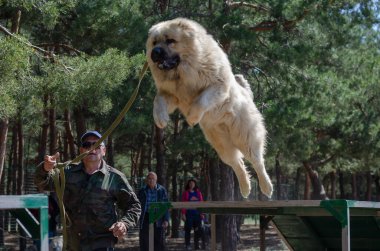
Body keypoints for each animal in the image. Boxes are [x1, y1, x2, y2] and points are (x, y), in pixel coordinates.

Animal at [146, 17, 274, 198]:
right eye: (154, 42)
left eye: (170, 41)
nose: (155, 52)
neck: (183, 74)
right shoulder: (171, 95)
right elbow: (158, 100)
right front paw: (160, 119)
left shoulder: (217, 85)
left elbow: (201, 100)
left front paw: (192, 117)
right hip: (221, 144)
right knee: (237, 163)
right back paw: (245, 187)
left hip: (245, 136)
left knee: (257, 161)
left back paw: (266, 187)